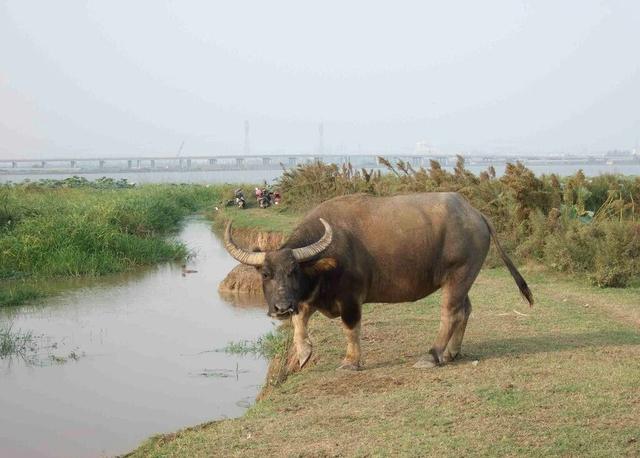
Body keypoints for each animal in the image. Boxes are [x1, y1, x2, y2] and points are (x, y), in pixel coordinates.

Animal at [222, 191, 532, 370]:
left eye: (293, 271)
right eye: (266, 274)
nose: (280, 307)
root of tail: (476, 214)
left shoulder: (350, 297)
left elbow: (351, 328)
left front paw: (351, 362)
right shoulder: (309, 297)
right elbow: (299, 322)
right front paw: (303, 354)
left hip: (459, 274)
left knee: (451, 313)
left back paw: (432, 355)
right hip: (461, 279)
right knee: (465, 310)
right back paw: (451, 353)